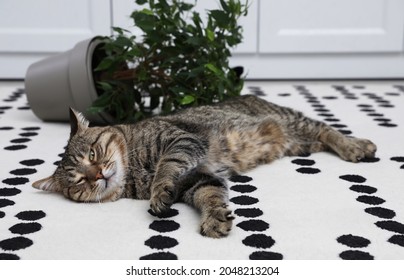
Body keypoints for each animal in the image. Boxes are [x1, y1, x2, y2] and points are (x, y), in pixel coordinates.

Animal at [33, 95, 378, 237]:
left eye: (92, 154)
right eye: (79, 181)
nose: (97, 174)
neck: (135, 173)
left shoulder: (181, 141)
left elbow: (166, 167)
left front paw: (159, 190)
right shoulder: (199, 179)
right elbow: (210, 196)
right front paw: (215, 218)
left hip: (293, 122)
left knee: (326, 128)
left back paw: (356, 146)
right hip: (299, 142)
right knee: (320, 137)